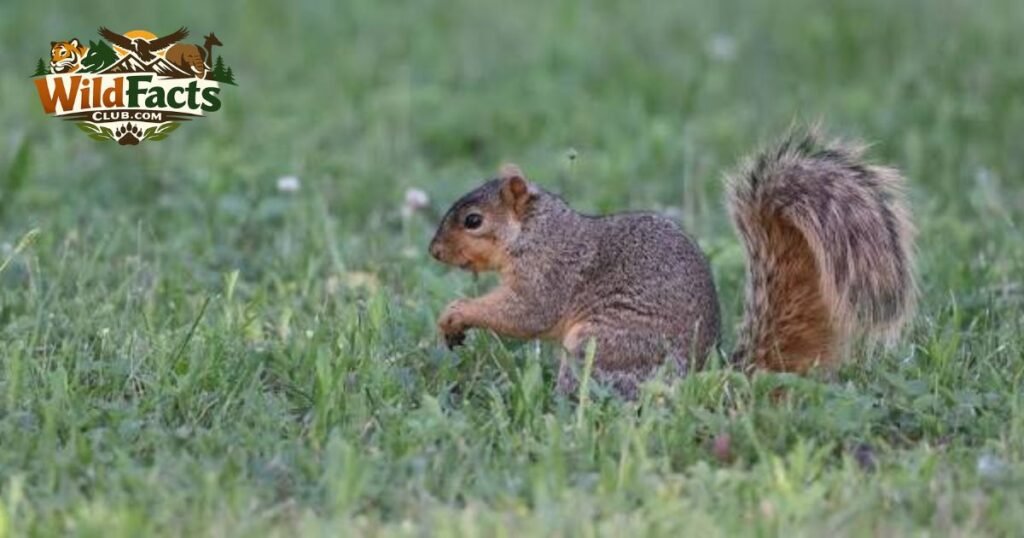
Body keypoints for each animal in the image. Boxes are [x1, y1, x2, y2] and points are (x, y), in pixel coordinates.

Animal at [428, 129, 915, 399]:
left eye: (473, 221)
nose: (434, 251)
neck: (534, 231)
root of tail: (703, 377)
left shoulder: (549, 273)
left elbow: (527, 313)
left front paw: (455, 314)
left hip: (602, 346)